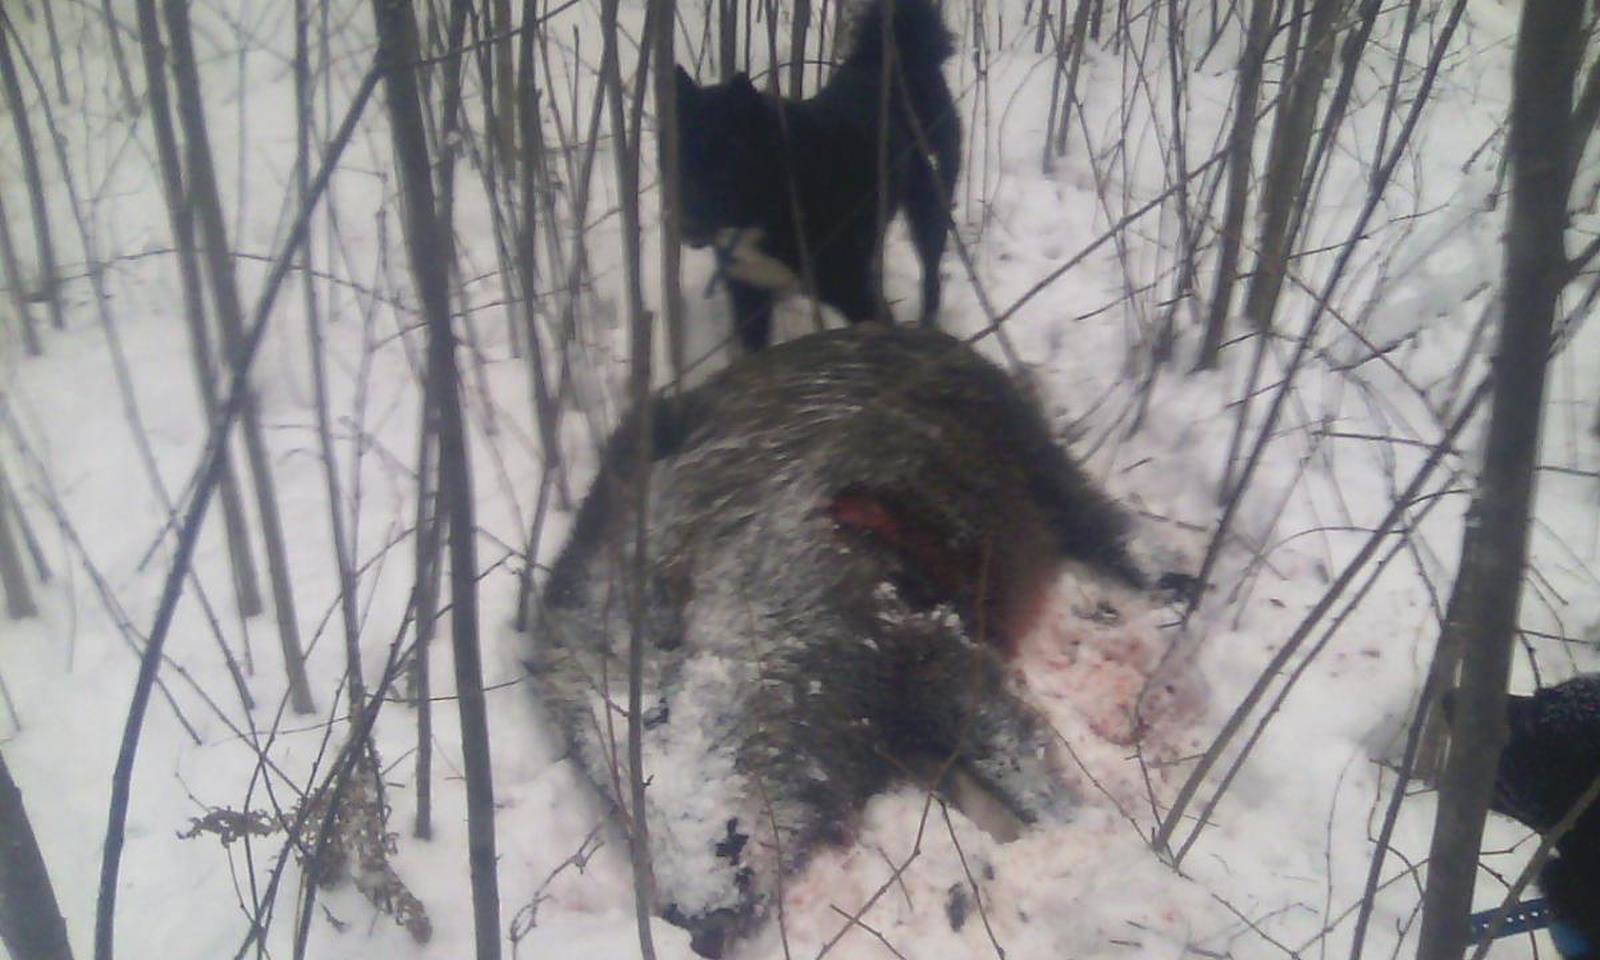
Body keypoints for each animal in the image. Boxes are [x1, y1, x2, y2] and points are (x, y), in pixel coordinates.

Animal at [672, 0, 961, 352]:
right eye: (682, 161)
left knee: (932, 273)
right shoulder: (749, 297)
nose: (686, 227)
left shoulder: (854, 292)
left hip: (929, 202)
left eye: (727, 163)